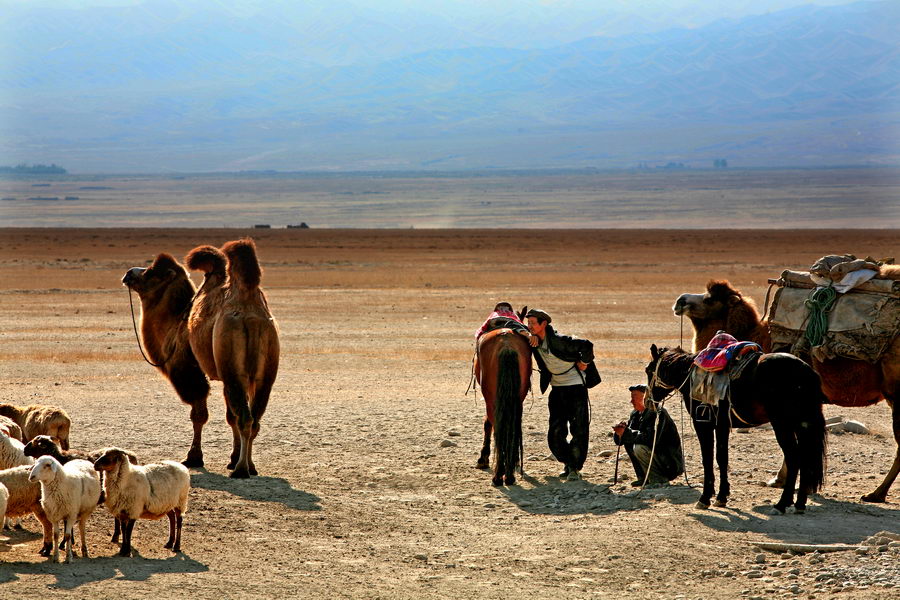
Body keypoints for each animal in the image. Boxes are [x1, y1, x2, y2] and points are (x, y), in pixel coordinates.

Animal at [123, 239, 278, 478]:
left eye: (151, 272)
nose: (129, 273)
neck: (177, 322)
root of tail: (251, 312)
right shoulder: (224, 373)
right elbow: (229, 417)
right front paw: (232, 458)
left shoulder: (188, 368)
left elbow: (199, 414)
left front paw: (193, 457)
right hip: (264, 372)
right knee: (255, 418)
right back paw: (250, 466)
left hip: (233, 368)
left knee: (245, 418)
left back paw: (241, 470)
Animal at [474, 326, 532, 486]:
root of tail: (507, 344)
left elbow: (487, 424)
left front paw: (483, 459)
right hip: (517, 398)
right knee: (512, 426)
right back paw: (509, 474)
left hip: (492, 398)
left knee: (497, 427)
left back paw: (499, 475)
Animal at [644, 344, 828, 512]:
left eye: (648, 371)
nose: (647, 401)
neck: (689, 375)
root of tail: (808, 372)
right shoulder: (722, 425)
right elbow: (722, 458)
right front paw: (721, 496)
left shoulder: (702, 423)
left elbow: (708, 458)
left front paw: (705, 498)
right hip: (802, 424)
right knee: (805, 457)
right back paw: (799, 503)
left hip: (783, 424)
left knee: (793, 457)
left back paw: (782, 504)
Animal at [676, 278, 900, 504]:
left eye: (709, 299)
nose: (680, 301)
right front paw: (795, 484)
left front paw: (784, 481)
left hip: (895, 395)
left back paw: (876, 493)